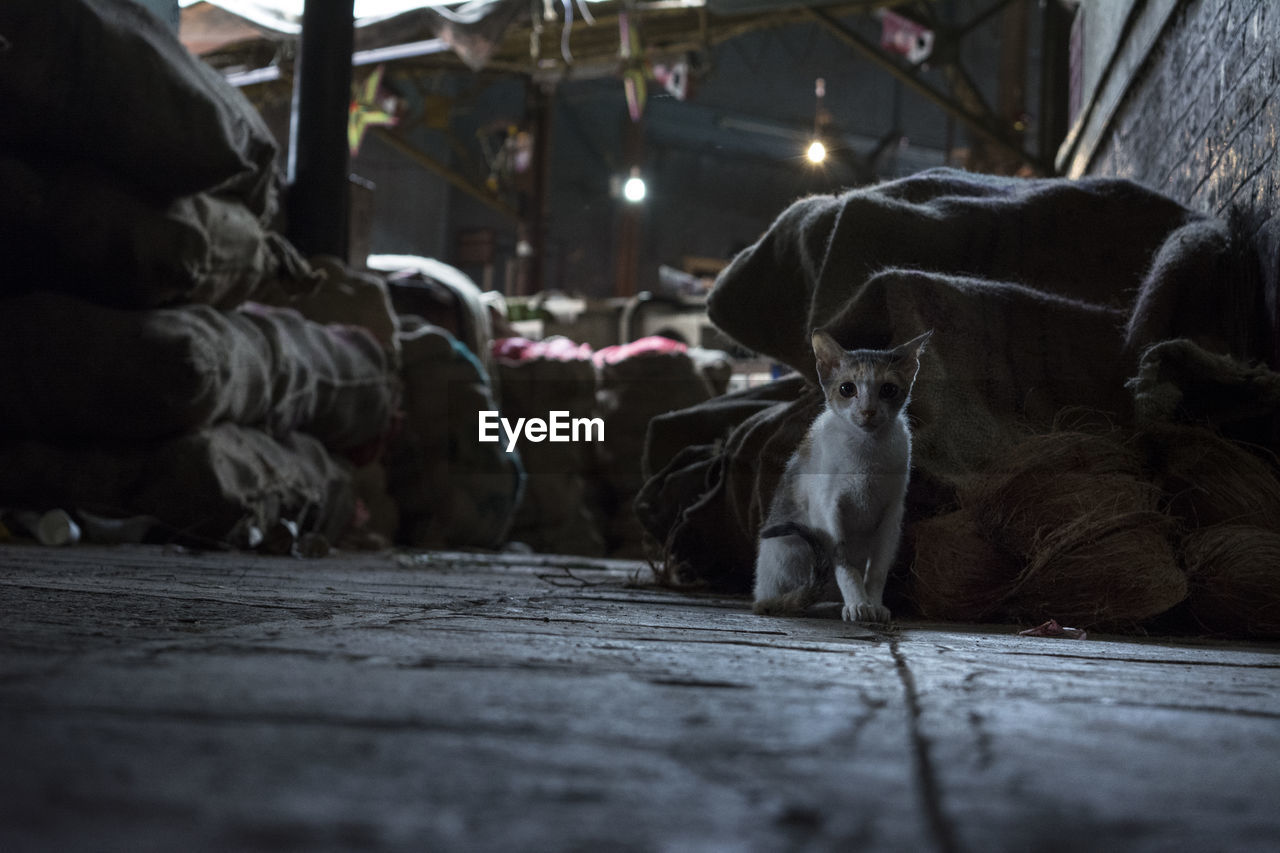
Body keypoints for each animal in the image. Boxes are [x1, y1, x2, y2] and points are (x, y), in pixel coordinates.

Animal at [747, 327, 931, 622]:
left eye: (888, 389)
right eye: (847, 389)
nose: (868, 411)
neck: (867, 452)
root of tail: (759, 596)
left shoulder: (892, 515)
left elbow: (876, 570)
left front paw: (873, 604)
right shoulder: (828, 511)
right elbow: (845, 565)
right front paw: (859, 604)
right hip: (790, 548)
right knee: (790, 599)